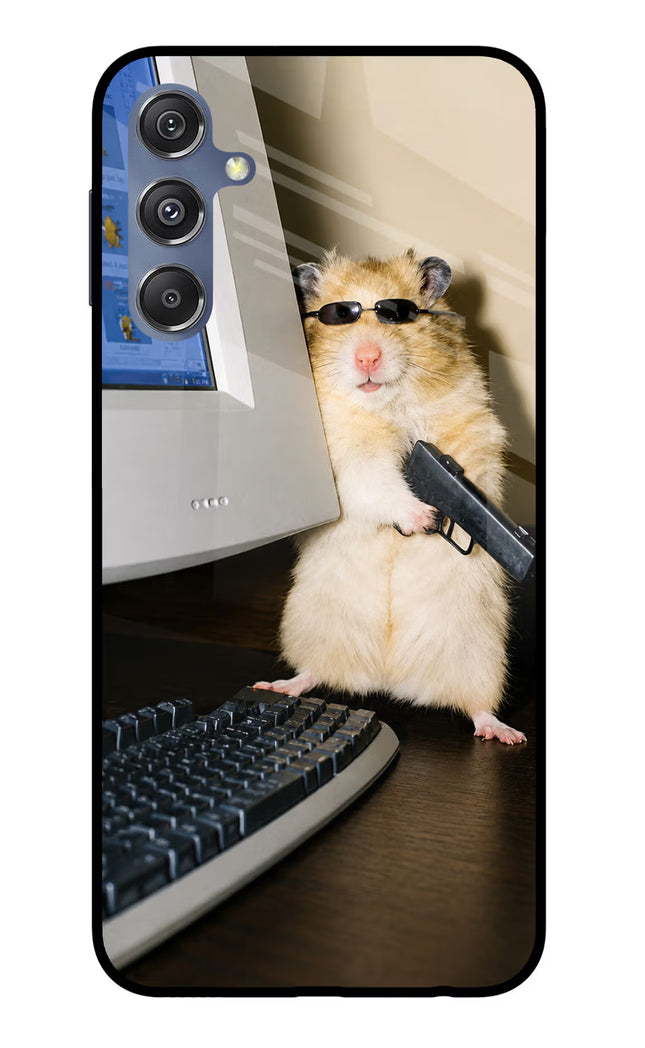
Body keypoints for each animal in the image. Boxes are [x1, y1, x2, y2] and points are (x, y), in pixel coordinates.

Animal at [255, 249, 526, 744]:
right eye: (339, 316)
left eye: (397, 314)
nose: (367, 357)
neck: (386, 404)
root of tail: (389, 679)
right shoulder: (347, 458)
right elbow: (378, 483)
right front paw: (423, 518)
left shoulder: (472, 427)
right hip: (311, 626)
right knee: (314, 672)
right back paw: (279, 685)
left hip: (480, 654)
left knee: (477, 706)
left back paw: (504, 733)